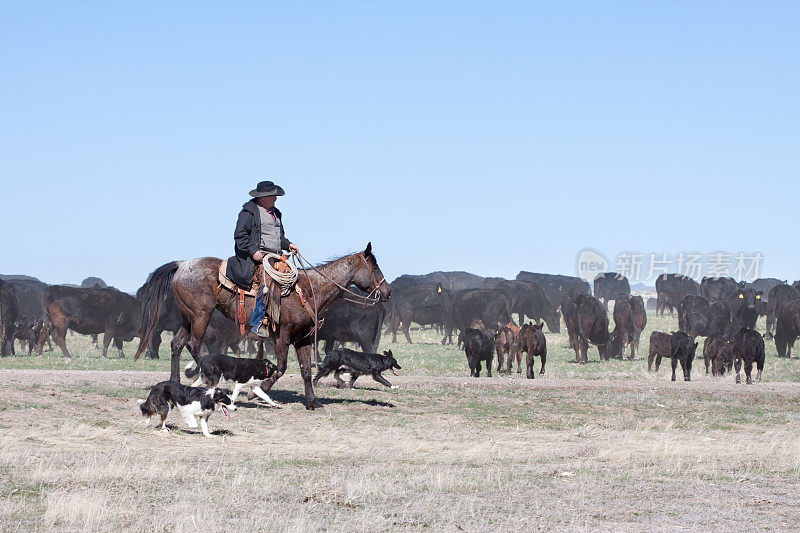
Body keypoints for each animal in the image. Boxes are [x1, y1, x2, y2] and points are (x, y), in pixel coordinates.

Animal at [136, 243, 392, 410]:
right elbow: (281, 367)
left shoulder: (304, 339)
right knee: (194, 345)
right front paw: (256, 392)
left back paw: (176, 384)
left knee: (177, 344)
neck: (309, 291)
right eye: (374, 267)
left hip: (188, 318)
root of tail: (182, 265)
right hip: (201, 316)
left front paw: (312, 402)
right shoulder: (282, 337)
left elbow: (306, 371)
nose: (387, 292)